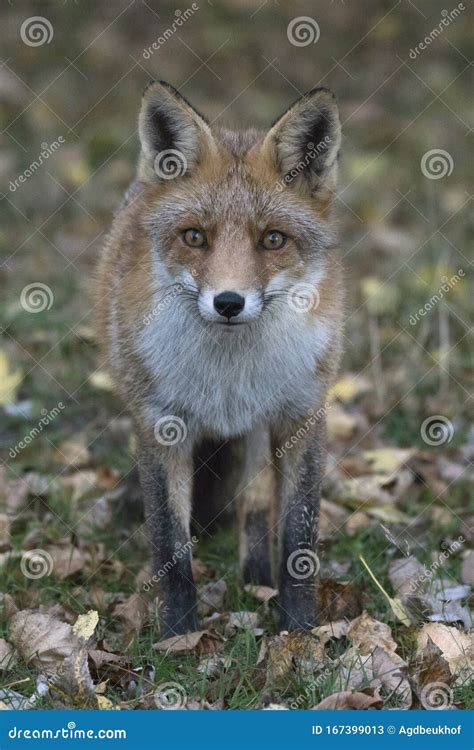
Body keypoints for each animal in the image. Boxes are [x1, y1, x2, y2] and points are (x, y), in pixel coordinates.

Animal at [96, 81, 342, 636]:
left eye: (272, 239)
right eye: (195, 237)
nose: (228, 302)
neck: (229, 375)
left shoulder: (302, 416)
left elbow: (299, 537)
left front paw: (300, 631)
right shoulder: (160, 423)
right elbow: (169, 542)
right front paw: (177, 635)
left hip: (258, 428)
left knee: (254, 506)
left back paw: (255, 579)